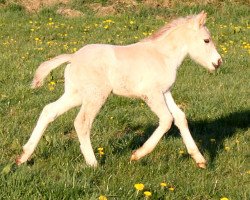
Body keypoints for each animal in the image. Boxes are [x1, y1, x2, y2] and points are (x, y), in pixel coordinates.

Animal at [16, 11, 222, 169]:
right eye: (206, 40)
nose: (218, 62)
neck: (162, 55)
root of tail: (72, 57)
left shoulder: (165, 92)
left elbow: (180, 117)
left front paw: (200, 160)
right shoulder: (151, 94)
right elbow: (166, 120)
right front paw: (137, 155)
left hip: (76, 95)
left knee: (49, 110)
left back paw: (23, 156)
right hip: (96, 95)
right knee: (82, 122)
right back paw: (93, 163)